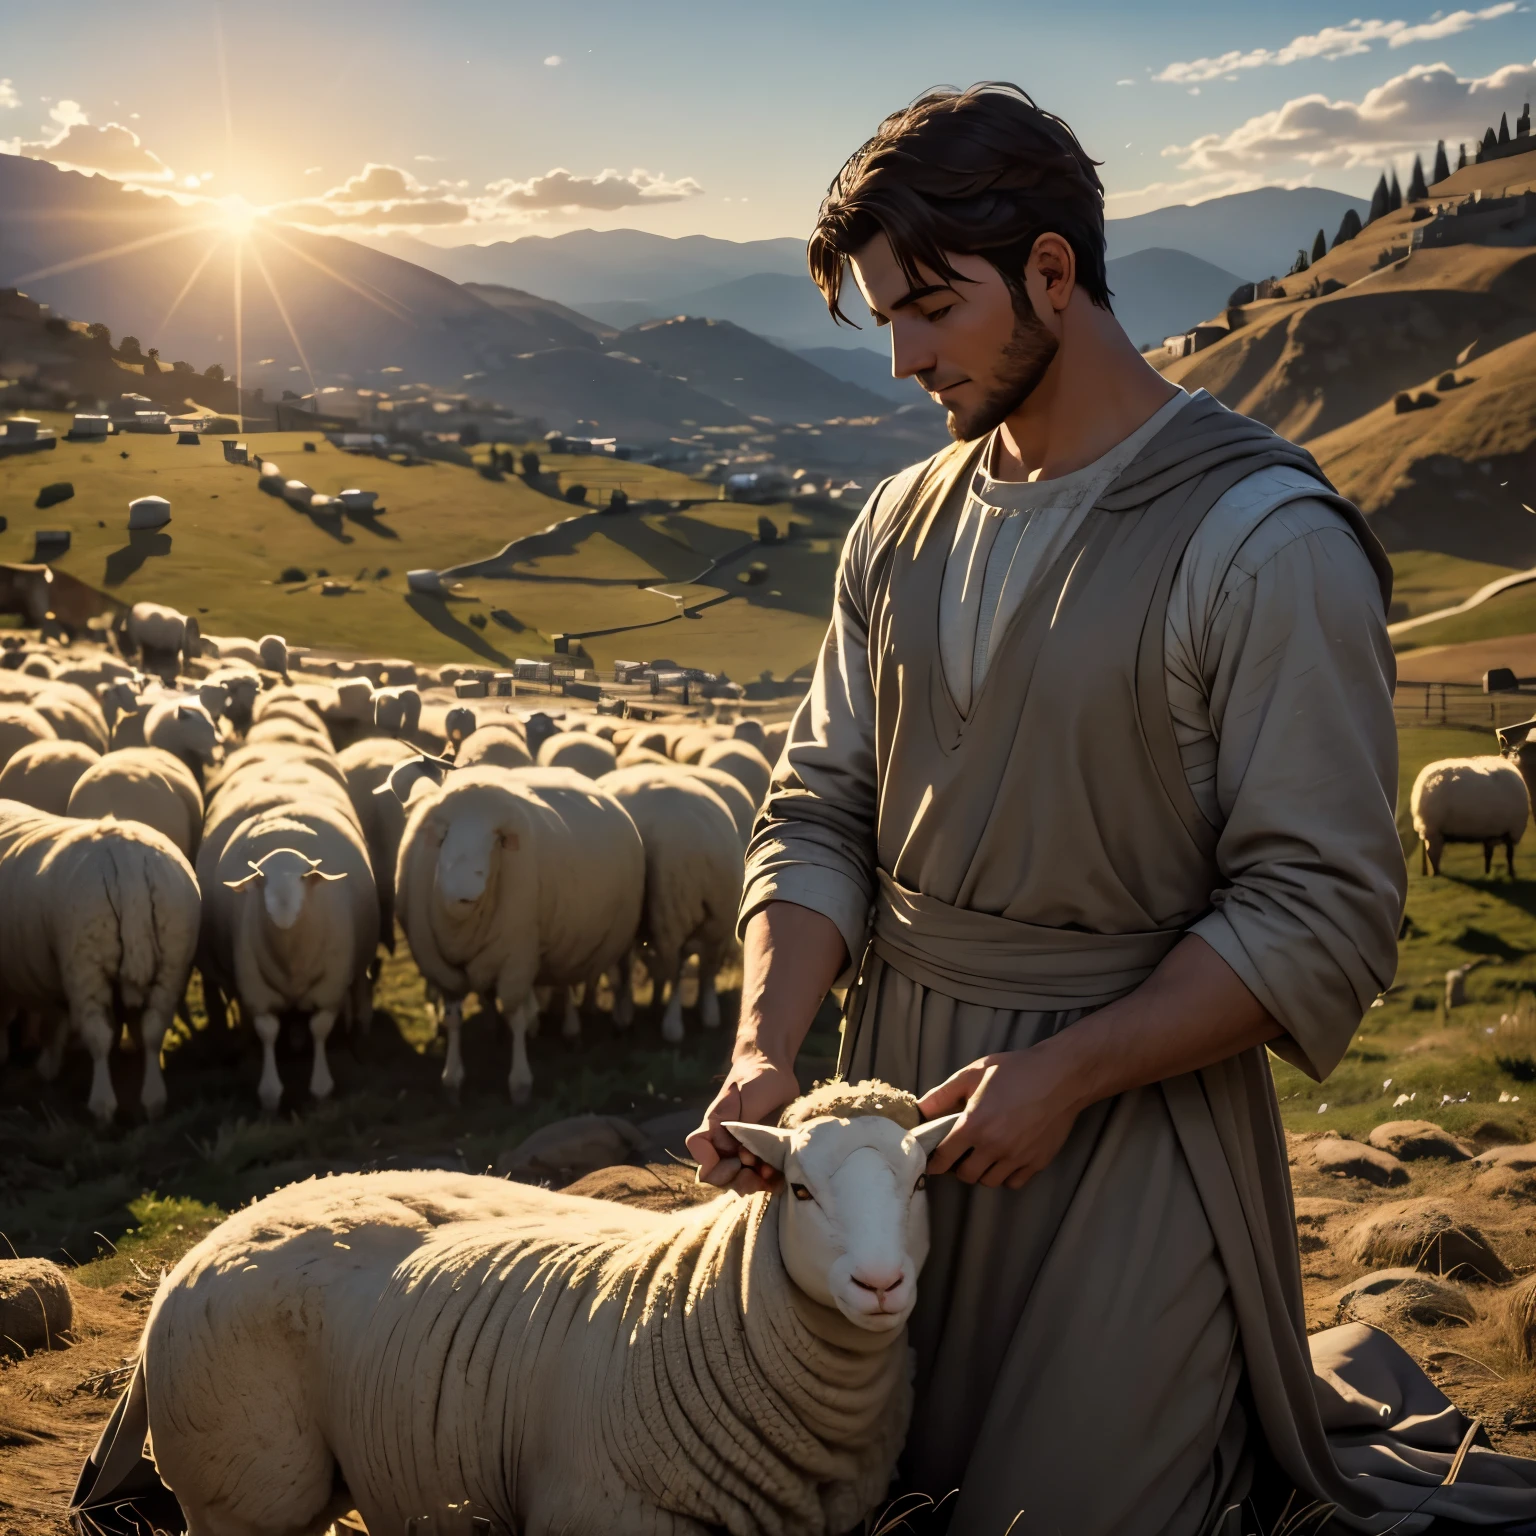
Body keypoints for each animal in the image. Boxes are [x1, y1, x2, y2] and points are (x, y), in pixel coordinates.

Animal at [0, 804, 201, 1118]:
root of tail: (127, 860)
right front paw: (47, 1066)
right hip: (173, 957)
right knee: (153, 1029)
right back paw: (153, 1101)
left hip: (85, 963)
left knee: (97, 1035)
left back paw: (102, 1106)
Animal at [141, 1081, 958, 1536]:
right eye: (799, 1190)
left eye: (922, 1184)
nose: (880, 1285)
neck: (705, 1300)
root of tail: (231, 1223)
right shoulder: (605, 1514)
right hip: (245, 1495)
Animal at [396, 768, 642, 1105]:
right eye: (445, 837)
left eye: (497, 840)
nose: (463, 890)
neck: (460, 926)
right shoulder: (441, 971)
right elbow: (454, 1019)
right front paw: (452, 1080)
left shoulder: (517, 959)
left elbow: (514, 1015)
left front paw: (520, 1083)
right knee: (561, 982)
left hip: (598, 939)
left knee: (594, 981)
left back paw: (594, 1026)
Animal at [599, 761, 743, 1038]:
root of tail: (702, 850)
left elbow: (624, 967)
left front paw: (625, 1012)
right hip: (720, 916)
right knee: (706, 968)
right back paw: (708, 1014)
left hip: (670, 910)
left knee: (675, 969)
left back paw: (672, 1025)